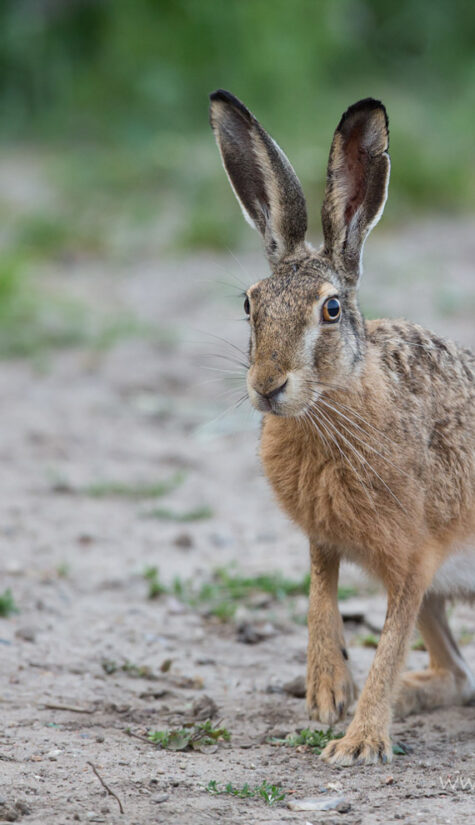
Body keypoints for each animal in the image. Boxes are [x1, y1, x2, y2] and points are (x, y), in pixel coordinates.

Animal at [209, 89, 475, 766]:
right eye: (249, 303)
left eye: (331, 309)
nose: (267, 386)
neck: (330, 405)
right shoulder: (327, 540)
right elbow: (320, 594)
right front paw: (328, 692)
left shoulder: (414, 561)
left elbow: (389, 640)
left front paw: (358, 742)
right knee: (460, 676)